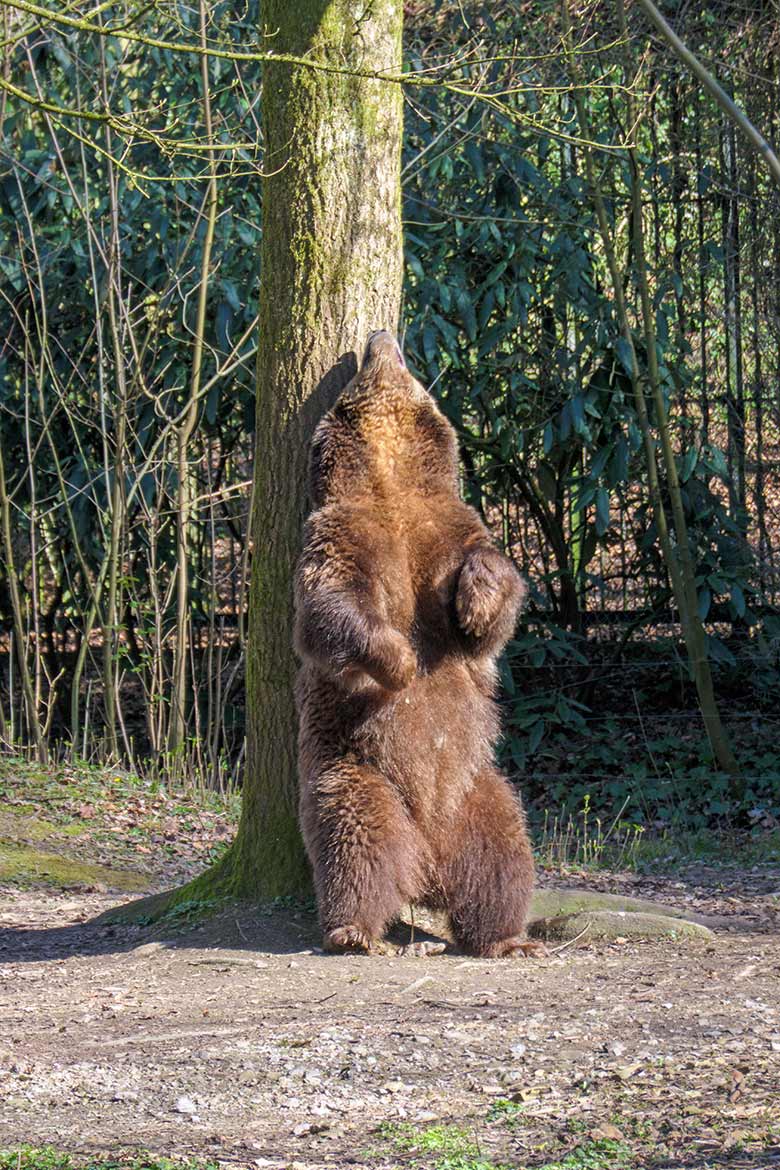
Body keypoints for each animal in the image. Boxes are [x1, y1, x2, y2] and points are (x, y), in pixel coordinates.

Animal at [292, 332, 537, 959]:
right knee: (356, 842)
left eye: (402, 356)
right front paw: (399, 660)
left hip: (476, 790)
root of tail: (429, 858)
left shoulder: (448, 531)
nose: (380, 336)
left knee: (503, 855)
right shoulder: (340, 535)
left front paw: (478, 595)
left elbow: (494, 592)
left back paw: (505, 936)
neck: (390, 480)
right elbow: (331, 608)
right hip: (356, 769)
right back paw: (354, 929)